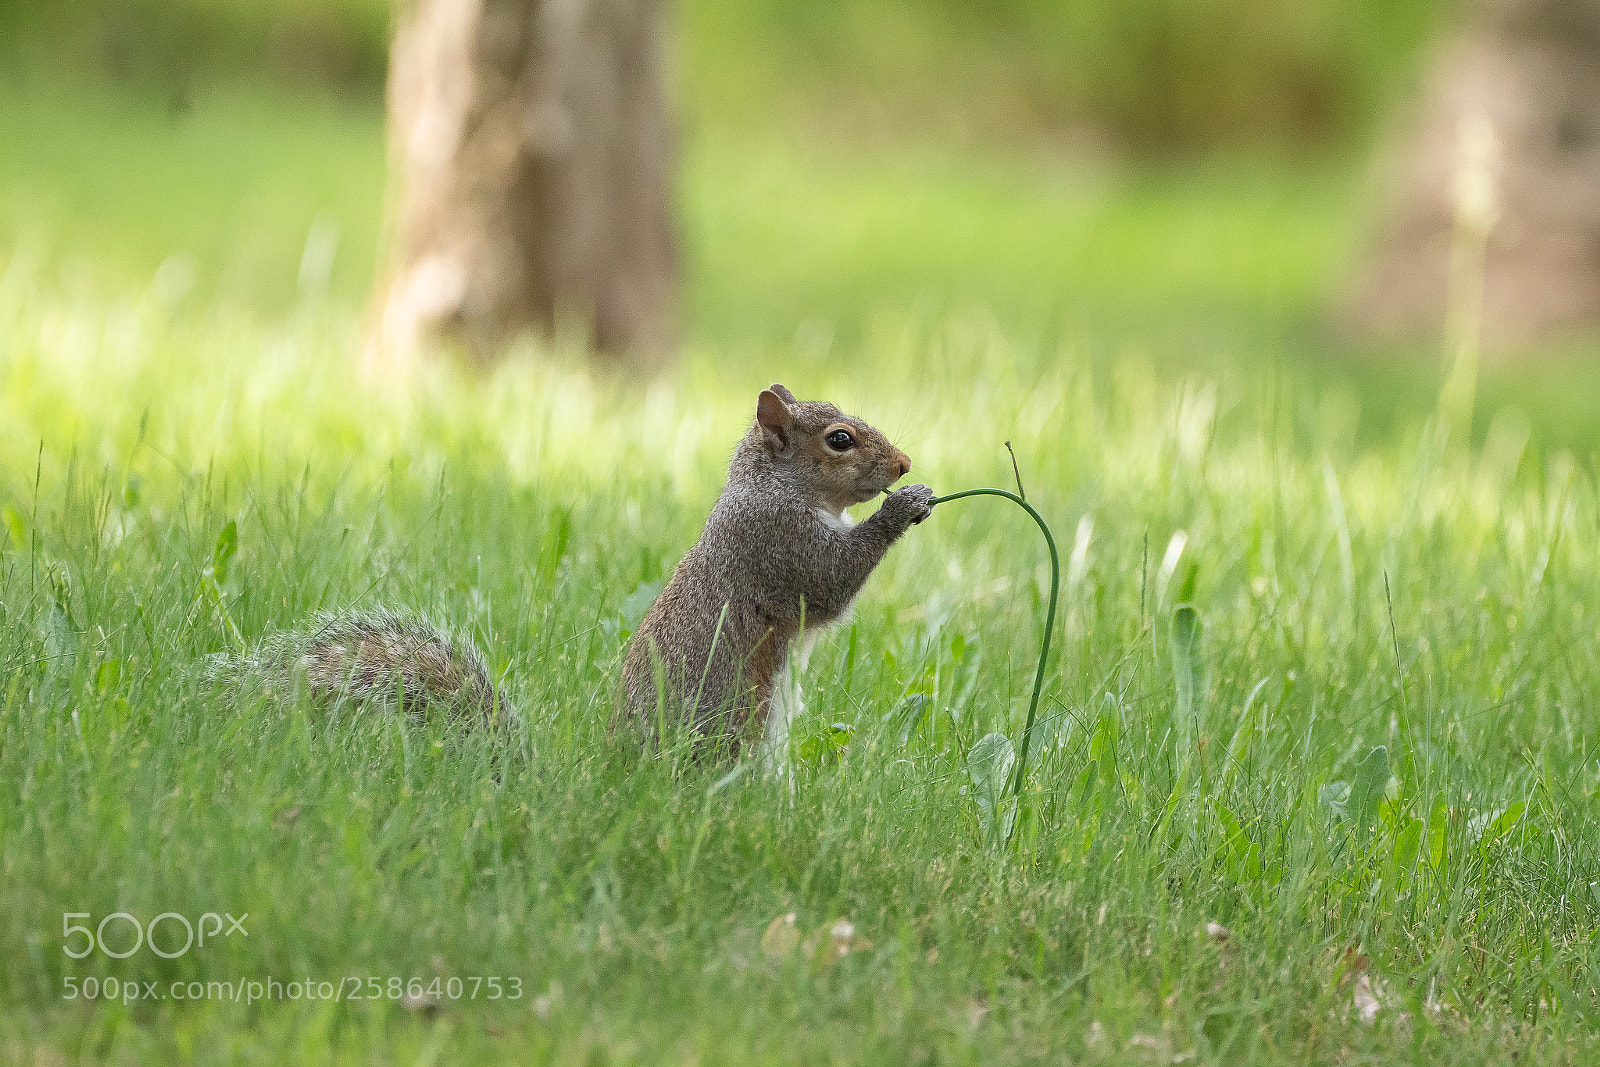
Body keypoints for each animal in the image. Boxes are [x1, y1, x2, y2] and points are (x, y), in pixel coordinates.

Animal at [620, 383, 930, 758]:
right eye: (840, 439)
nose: (904, 464)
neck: (773, 485)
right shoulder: (781, 539)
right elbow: (833, 579)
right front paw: (904, 505)